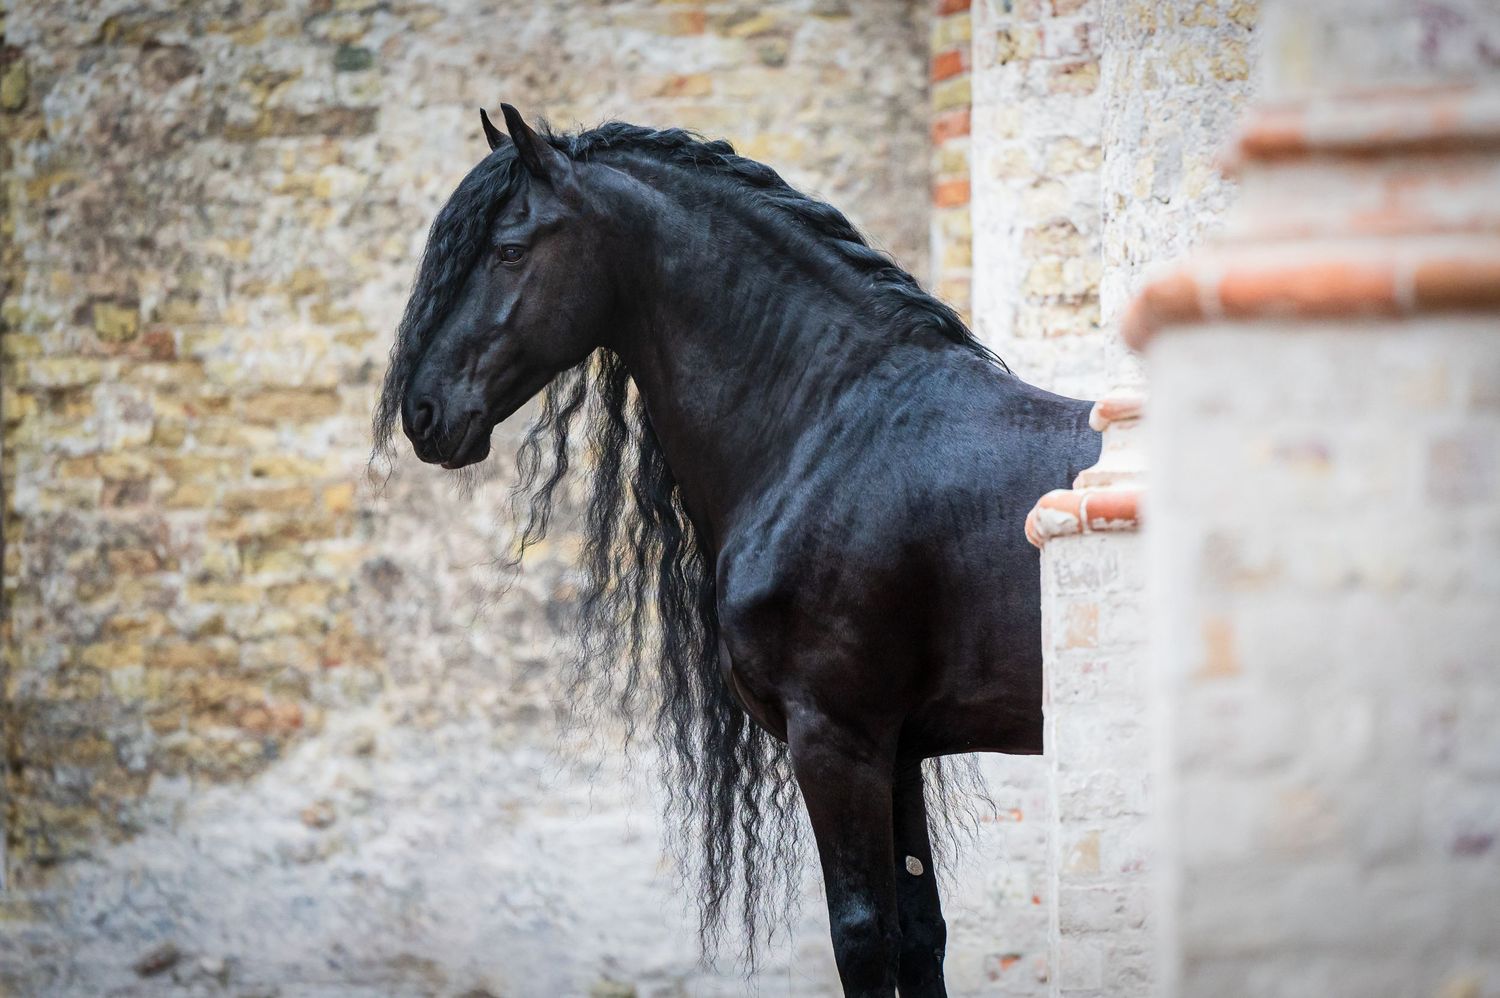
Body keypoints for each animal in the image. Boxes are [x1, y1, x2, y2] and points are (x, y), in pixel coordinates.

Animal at [374, 104, 1100, 998]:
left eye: (509, 249)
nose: (424, 412)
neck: (831, 428)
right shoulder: (894, 747)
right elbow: (920, 932)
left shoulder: (835, 740)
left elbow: (865, 935)